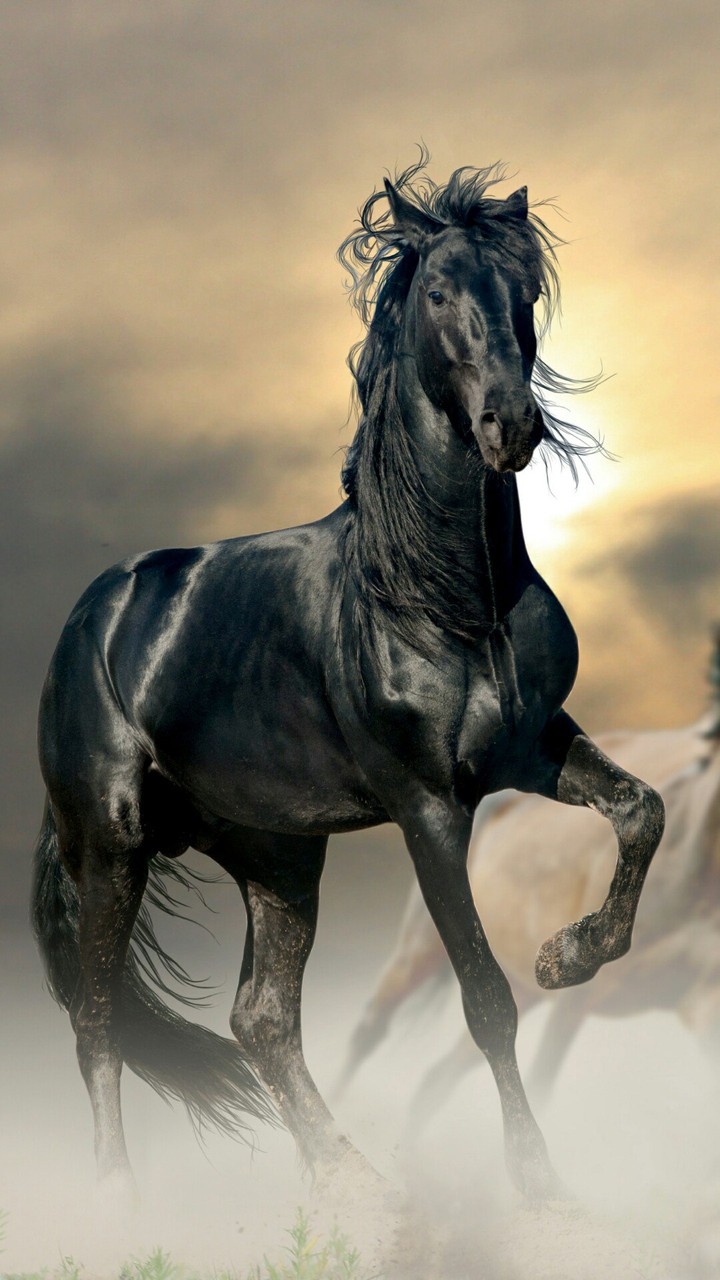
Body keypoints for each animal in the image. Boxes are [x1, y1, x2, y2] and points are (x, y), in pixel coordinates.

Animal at [31, 154, 665, 1203]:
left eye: (525, 292)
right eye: (440, 291)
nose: (511, 424)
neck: (443, 597)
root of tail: (92, 617)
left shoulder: (536, 748)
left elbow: (641, 810)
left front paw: (570, 954)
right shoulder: (428, 808)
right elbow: (486, 999)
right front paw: (537, 1182)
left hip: (278, 857)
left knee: (262, 1020)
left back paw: (355, 1186)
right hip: (112, 847)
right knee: (95, 1026)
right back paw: (119, 1202)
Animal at [335, 633, 720, 1129]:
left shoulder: (703, 1006)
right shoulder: (575, 1004)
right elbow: (543, 1080)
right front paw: (569, 951)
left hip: (519, 986)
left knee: (446, 1071)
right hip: (421, 949)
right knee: (369, 1031)